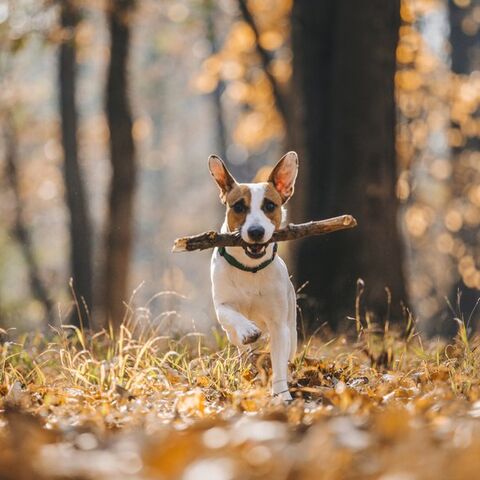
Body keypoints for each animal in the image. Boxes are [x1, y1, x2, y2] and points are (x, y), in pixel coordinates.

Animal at [208, 152, 298, 400]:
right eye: (239, 206)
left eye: (270, 205)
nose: (256, 232)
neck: (250, 268)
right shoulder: (221, 305)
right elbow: (230, 314)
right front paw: (248, 330)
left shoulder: (279, 325)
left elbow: (279, 364)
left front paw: (282, 395)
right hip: (231, 336)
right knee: (242, 348)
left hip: (292, 329)